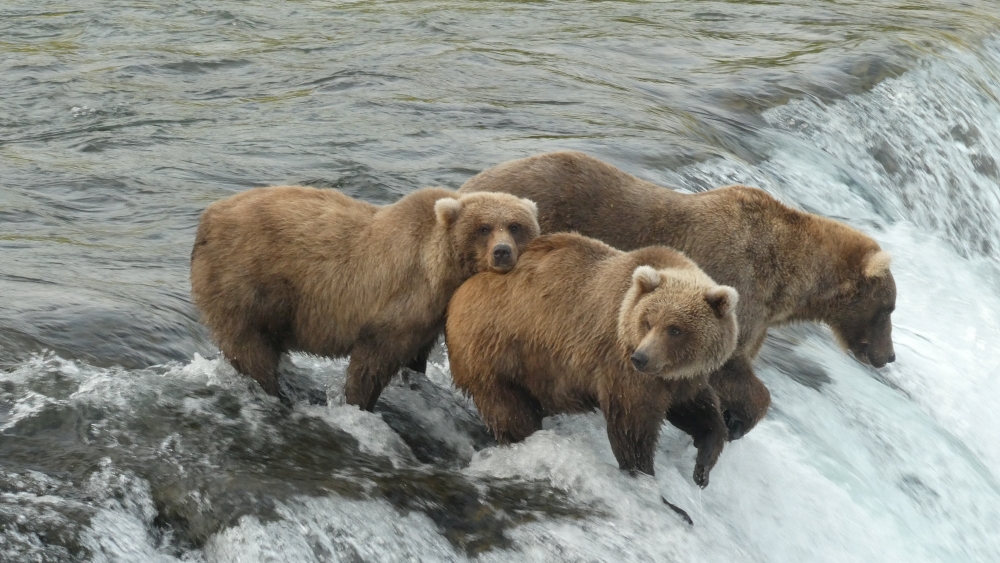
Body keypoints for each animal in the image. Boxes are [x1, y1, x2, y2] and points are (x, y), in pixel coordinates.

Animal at [190, 185, 540, 410]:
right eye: (484, 228)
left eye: (515, 226)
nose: (502, 252)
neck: (442, 269)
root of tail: (208, 217)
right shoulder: (401, 297)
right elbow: (373, 357)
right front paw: (360, 402)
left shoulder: (429, 314)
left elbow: (416, 354)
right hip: (246, 280)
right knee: (249, 345)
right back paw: (273, 391)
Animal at [446, 232, 739, 486]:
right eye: (648, 321)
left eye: (675, 329)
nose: (641, 358)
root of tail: (460, 292)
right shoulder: (623, 369)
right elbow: (632, 427)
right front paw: (643, 473)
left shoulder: (681, 378)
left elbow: (697, 410)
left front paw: (703, 466)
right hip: (496, 352)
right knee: (509, 411)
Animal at [459, 151, 896, 440]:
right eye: (888, 309)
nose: (888, 356)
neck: (784, 281)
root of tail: (468, 187)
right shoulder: (735, 282)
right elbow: (728, 368)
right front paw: (738, 421)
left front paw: (728, 420)